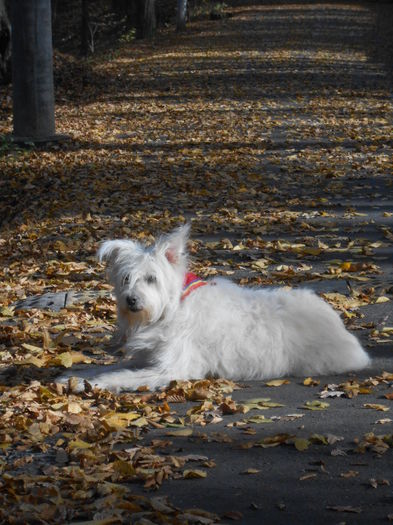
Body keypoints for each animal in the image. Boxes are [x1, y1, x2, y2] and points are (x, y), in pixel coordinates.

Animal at [60, 223, 368, 390]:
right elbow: (107, 367)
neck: (173, 307)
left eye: (151, 278)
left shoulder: (170, 370)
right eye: (126, 278)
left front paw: (96, 384)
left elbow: (118, 375)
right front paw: (72, 377)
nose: (131, 300)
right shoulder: (147, 358)